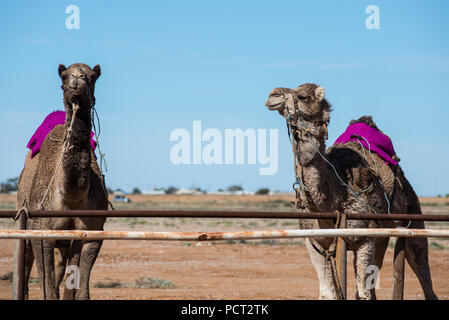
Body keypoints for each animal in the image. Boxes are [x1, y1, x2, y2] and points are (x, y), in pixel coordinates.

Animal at [15, 63, 107, 300]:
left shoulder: (93, 233)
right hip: (24, 216)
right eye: (64, 76)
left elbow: (80, 290)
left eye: (92, 76)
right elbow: (48, 289)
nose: (77, 80)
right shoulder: (41, 232)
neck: (71, 194)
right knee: (26, 262)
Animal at [264, 83, 436, 300]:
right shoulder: (314, 244)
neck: (332, 199)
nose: (272, 95)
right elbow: (327, 293)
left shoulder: (365, 240)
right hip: (382, 234)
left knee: (420, 260)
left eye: (302, 96)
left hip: (412, 213)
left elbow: (362, 292)